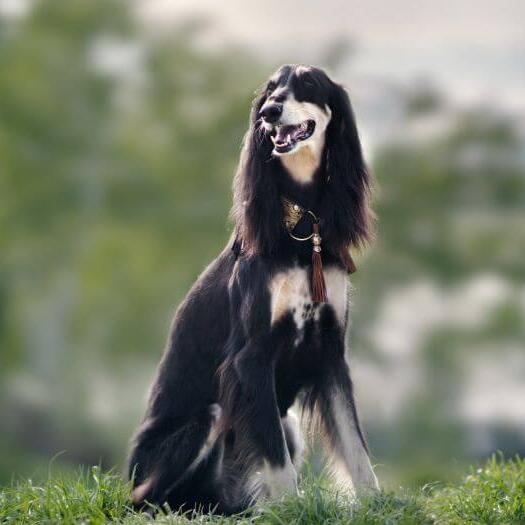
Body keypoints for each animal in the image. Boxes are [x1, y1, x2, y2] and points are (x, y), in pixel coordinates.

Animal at [129, 62, 378, 512]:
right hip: (204, 419)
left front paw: (378, 503)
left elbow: (355, 445)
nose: (269, 112)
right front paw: (293, 508)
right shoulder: (252, 357)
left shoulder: (331, 351)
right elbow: (276, 459)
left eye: (308, 84)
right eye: (271, 88)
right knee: (148, 498)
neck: (302, 222)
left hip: (286, 421)